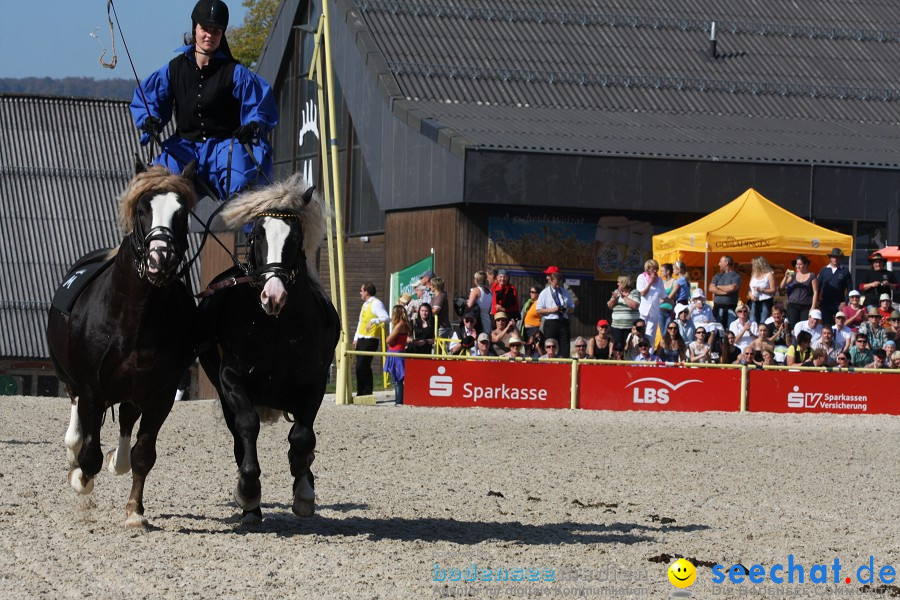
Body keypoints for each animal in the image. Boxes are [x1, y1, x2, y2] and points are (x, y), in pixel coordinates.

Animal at [47, 161, 199, 528]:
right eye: (142, 210)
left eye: (181, 213)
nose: (161, 259)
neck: (135, 319)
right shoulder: (91, 389)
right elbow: (89, 455)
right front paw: (79, 479)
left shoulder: (162, 394)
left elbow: (143, 453)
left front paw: (135, 512)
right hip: (75, 382)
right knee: (78, 424)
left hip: (133, 390)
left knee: (127, 423)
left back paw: (118, 460)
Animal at [199, 172, 340, 520]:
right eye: (255, 237)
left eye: (296, 238)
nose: (272, 295)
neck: (275, 329)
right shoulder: (231, 379)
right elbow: (247, 425)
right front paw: (249, 492)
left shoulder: (314, 383)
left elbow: (302, 437)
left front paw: (304, 491)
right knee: (240, 435)